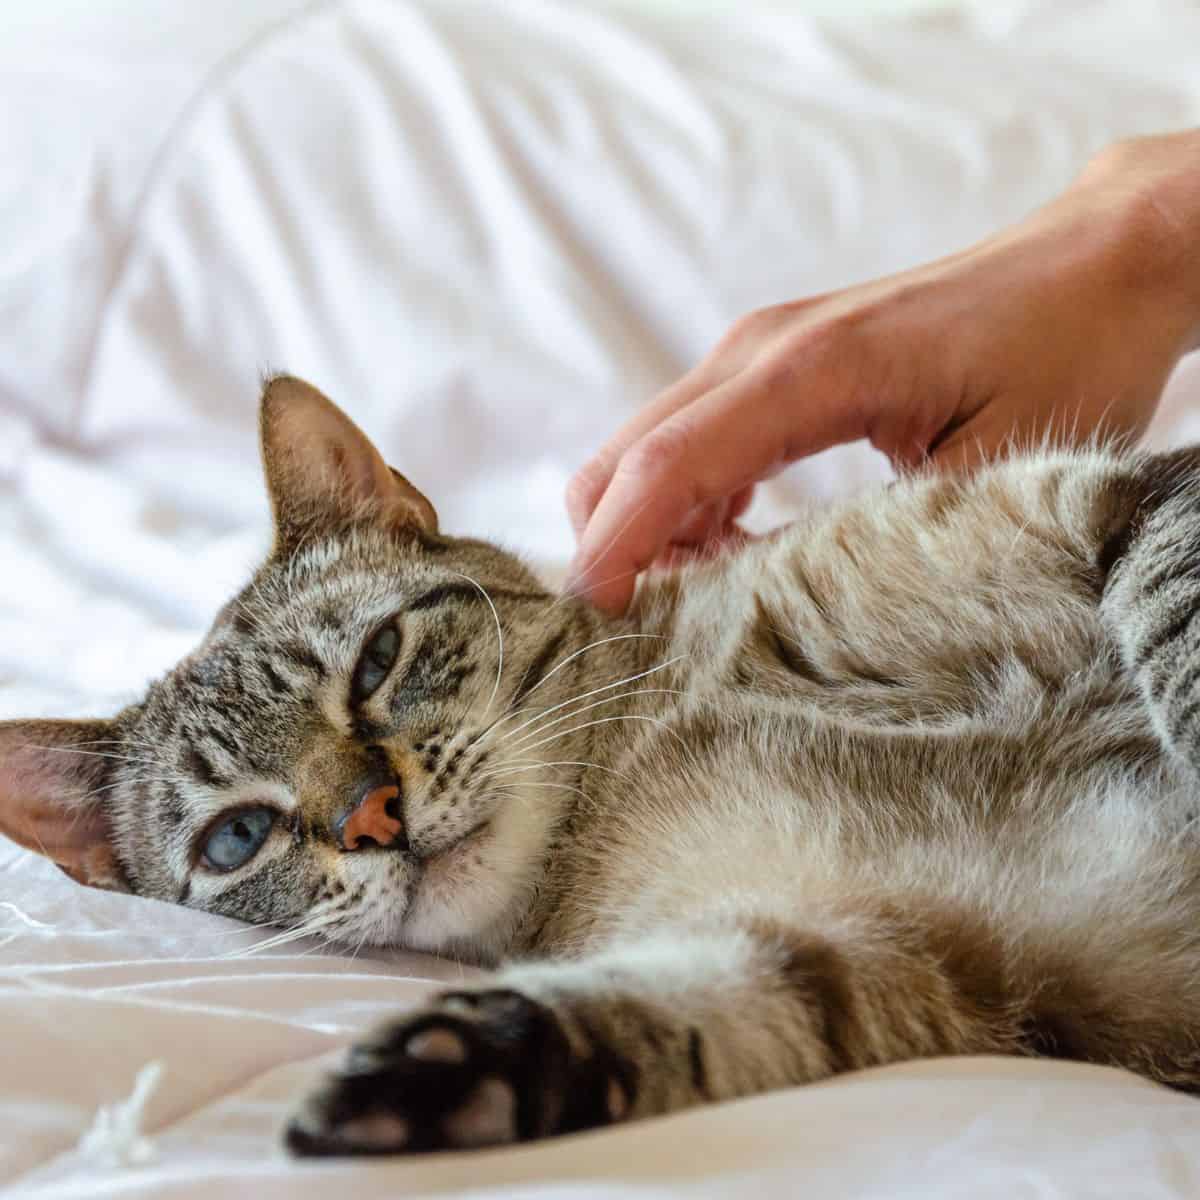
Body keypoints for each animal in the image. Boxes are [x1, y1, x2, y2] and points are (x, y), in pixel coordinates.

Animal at [7, 372, 1200, 1152]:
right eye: (239, 837)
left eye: (378, 661)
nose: (372, 816)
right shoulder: (903, 949)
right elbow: (673, 1014)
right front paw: (423, 1079)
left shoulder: (1115, 495)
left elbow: (1172, 623)